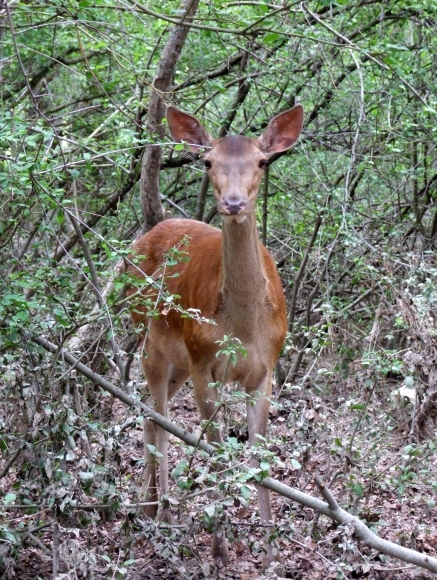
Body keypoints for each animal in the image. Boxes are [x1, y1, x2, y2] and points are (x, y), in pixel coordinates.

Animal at [127, 102, 304, 568]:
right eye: (208, 161)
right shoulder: (205, 363)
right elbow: (218, 453)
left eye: (262, 161)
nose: (233, 202)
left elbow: (260, 458)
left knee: (151, 418)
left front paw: (271, 551)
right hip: (153, 341)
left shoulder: (266, 371)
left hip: (178, 362)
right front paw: (221, 548)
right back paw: (163, 514)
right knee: (159, 418)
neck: (242, 329)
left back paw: (146, 508)